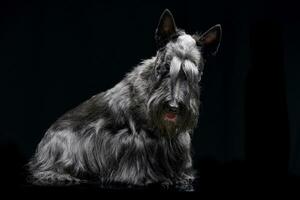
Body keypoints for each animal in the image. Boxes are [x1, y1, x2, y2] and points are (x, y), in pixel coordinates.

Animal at [27, 8, 220, 188]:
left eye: (192, 75)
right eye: (165, 68)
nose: (173, 106)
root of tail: (41, 148)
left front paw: (180, 177)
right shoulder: (135, 140)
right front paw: (151, 178)